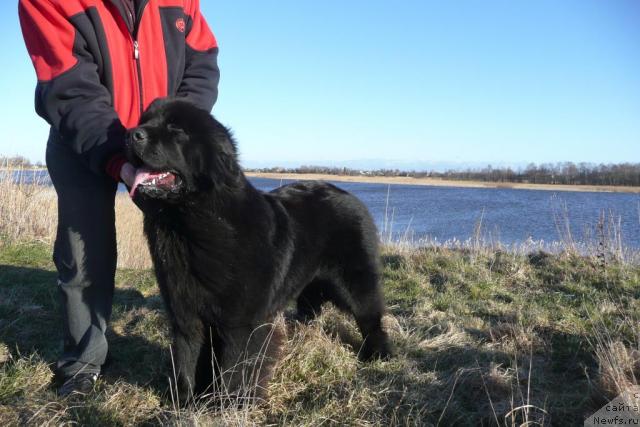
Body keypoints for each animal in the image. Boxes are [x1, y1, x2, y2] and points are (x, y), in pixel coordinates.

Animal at [125, 98, 390, 402]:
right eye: (145, 121)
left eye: (176, 129)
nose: (132, 134)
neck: (188, 223)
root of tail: (353, 197)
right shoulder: (185, 312)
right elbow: (186, 360)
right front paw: (183, 402)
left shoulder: (239, 321)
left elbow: (233, 366)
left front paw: (228, 404)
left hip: (353, 281)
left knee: (370, 316)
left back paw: (378, 354)